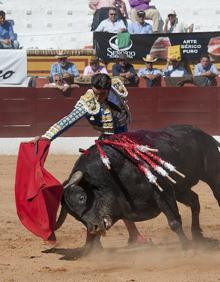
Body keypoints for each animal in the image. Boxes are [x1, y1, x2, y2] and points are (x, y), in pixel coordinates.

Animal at [54, 124, 220, 250]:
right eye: (74, 215)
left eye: (82, 197)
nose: (93, 228)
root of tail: (202, 133)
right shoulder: (118, 209)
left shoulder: (163, 192)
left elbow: (174, 222)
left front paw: (187, 248)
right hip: (180, 189)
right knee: (195, 201)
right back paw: (197, 235)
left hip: (212, 175)